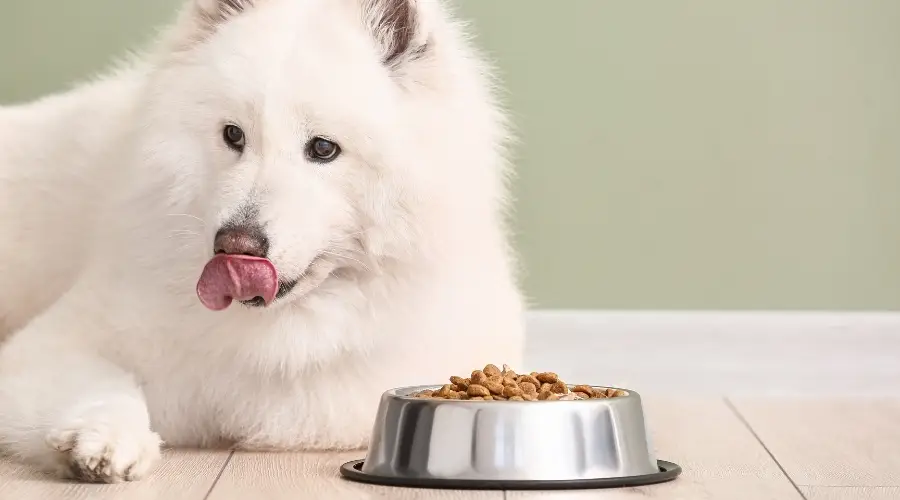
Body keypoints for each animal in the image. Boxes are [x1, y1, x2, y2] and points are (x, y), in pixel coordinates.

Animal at [0, 0, 524, 482]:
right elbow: (106, 386)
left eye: (323, 148)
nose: (235, 245)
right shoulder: (54, 342)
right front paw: (104, 441)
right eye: (234, 135)